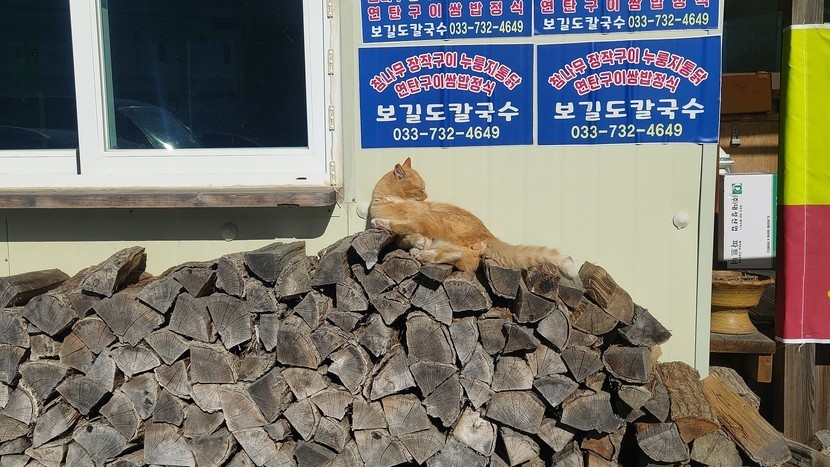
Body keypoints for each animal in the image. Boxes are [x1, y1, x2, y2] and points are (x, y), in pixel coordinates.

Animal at [369, 157, 579, 280]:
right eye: (421, 188)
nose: (427, 195)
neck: (387, 199)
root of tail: (488, 234)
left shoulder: (417, 218)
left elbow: (407, 227)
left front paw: (413, 240)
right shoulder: (406, 234)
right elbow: (406, 237)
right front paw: (416, 245)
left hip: (434, 218)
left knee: (455, 252)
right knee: (459, 256)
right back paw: (422, 254)